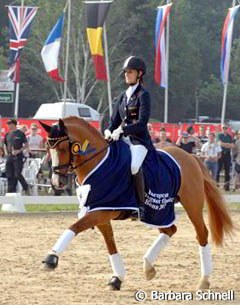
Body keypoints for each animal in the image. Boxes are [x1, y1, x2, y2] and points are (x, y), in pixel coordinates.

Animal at [40, 116, 233, 290]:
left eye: (63, 147)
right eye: (49, 148)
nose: (57, 182)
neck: (99, 162)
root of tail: (191, 157)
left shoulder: (102, 210)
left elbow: (74, 227)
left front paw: (51, 258)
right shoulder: (100, 212)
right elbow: (110, 245)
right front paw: (117, 279)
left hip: (191, 204)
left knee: (201, 234)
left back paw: (204, 280)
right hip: (158, 211)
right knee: (170, 230)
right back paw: (148, 267)